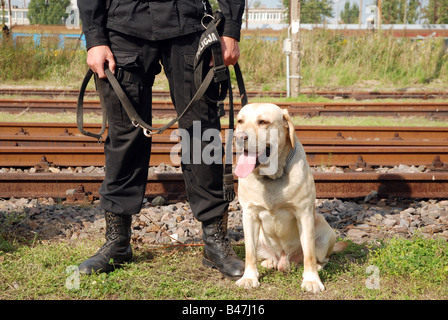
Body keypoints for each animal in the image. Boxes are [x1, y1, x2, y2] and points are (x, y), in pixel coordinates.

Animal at [234, 102, 336, 292]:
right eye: (240, 121)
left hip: (327, 232)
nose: (238, 137)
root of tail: (283, 260)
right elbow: (249, 253)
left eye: (263, 122)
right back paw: (269, 263)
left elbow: (309, 254)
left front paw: (312, 280)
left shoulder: (304, 213)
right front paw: (249, 277)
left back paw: (317, 267)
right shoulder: (249, 215)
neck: (271, 176)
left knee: (320, 257)